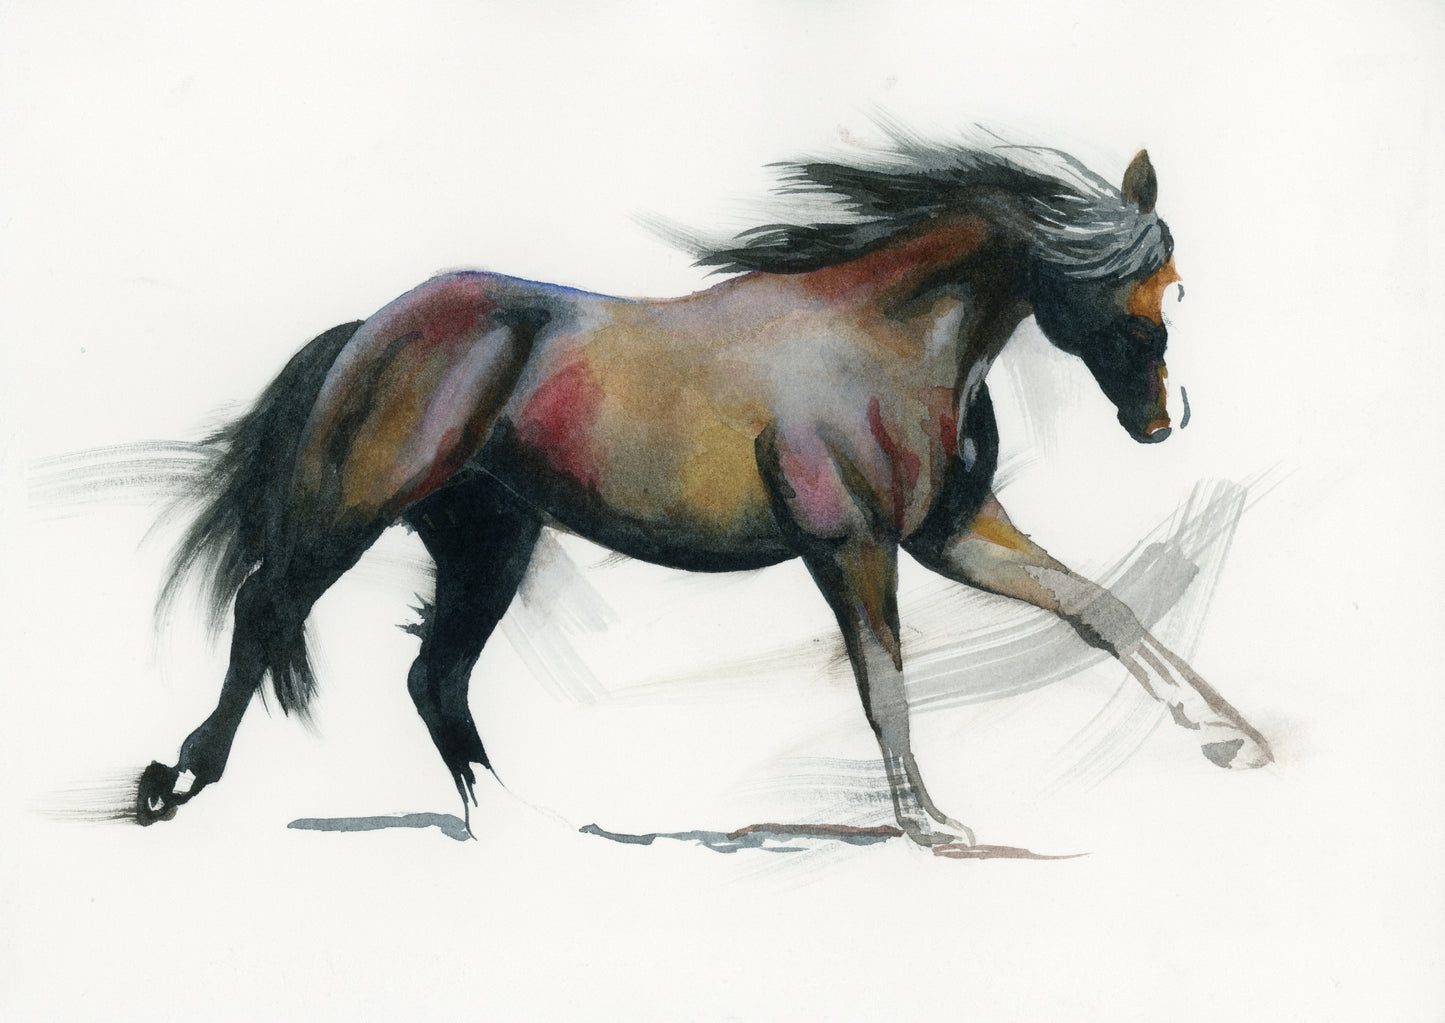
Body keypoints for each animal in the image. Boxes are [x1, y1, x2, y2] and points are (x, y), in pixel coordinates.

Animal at [136, 136, 1273, 848]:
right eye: (1122, 293)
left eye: (1171, 289)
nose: (1160, 421)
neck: (897, 341)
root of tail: (370, 326)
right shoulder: (852, 545)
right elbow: (884, 683)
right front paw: (931, 824)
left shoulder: (949, 533)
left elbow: (1099, 608)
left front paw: (1233, 738)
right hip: (352, 511)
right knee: (269, 607)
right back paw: (174, 781)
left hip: (488, 540)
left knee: (435, 675)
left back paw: (516, 823)